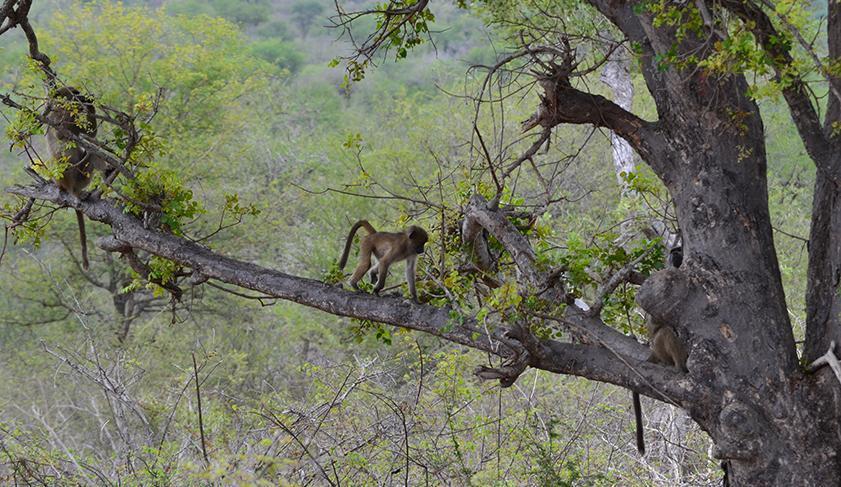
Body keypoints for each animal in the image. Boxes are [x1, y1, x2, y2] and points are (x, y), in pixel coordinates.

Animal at [42, 87, 109, 270]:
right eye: (74, 93)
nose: (81, 98)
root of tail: (69, 188)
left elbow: (89, 133)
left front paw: (89, 105)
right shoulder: (57, 117)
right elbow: (60, 134)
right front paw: (85, 106)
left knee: (91, 147)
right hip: (76, 177)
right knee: (85, 154)